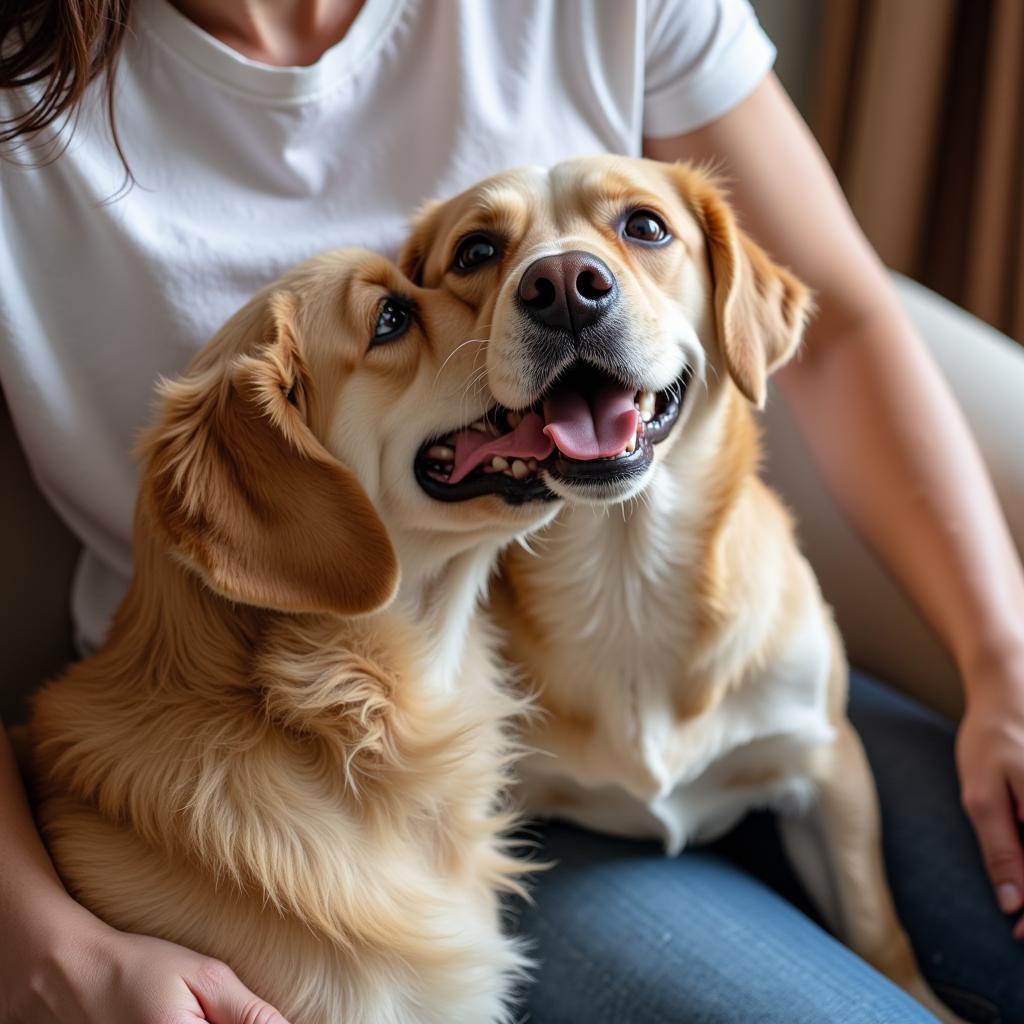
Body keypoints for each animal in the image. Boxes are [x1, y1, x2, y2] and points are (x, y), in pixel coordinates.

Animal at [403, 155, 962, 1019]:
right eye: (476, 252)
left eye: (645, 226)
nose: (563, 286)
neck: (627, 575)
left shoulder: (827, 762)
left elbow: (878, 926)